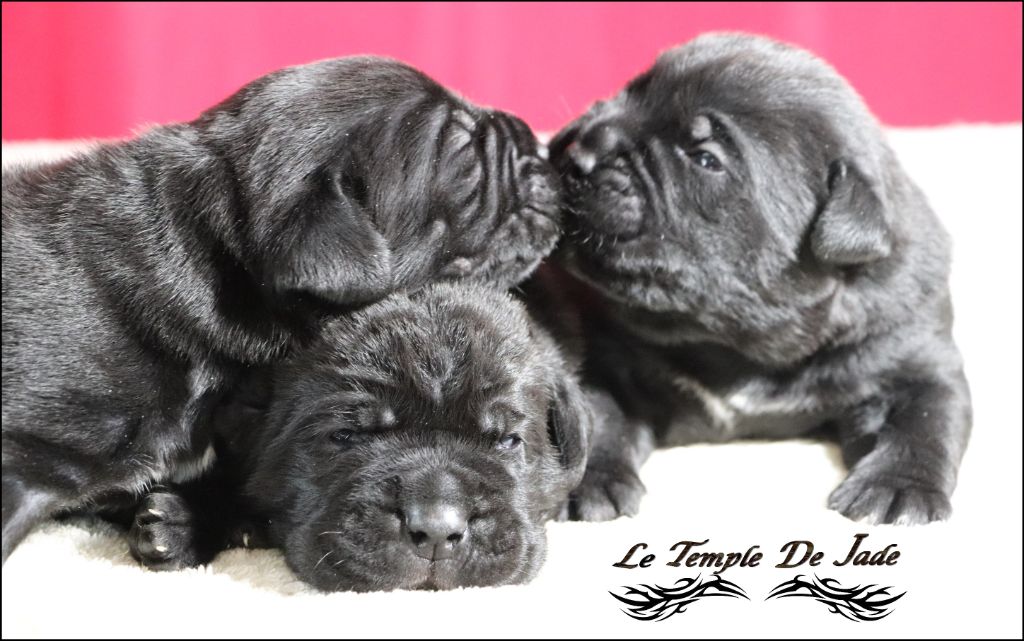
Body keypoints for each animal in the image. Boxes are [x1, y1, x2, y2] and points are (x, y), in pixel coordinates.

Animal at [544, 34, 966, 522]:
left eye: (705, 159)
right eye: (630, 91)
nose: (577, 152)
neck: (735, 343)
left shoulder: (916, 360)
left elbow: (925, 424)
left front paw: (898, 487)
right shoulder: (604, 359)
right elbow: (594, 415)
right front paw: (586, 483)